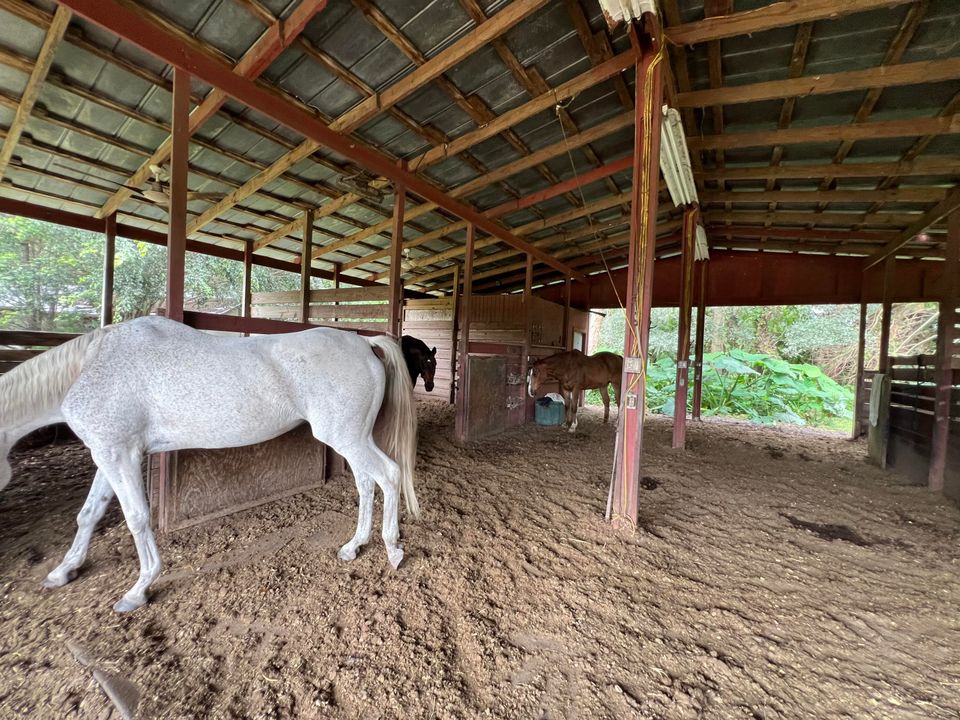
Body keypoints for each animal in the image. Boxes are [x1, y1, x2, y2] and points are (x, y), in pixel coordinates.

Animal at [0, 316, 420, 612]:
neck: (92, 367)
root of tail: (363, 342)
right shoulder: (109, 454)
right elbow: (89, 514)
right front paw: (63, 570)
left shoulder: (119, 455)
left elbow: (137, 518)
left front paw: (138, 590)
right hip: (355, 438)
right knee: (366, 483)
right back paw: (354, 545)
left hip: (347, 437)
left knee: (389, 475)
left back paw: (393, 550)